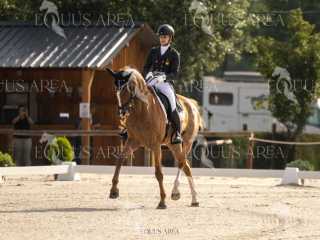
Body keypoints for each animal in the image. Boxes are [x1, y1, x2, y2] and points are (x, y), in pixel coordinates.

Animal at [106, 65, 204, 208]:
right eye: (115, 89)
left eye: (128, 89)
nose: (122, 113)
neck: (142, 111)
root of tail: (191, 103)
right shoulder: (133, 141)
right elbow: (119, 160)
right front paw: (113, 191)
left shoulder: (155, 145)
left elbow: (159, 172)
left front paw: (162, 201)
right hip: (172, 144)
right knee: (186, 165)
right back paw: (193, 199)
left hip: (186, 142)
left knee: (182, 163)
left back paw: (178, 193)